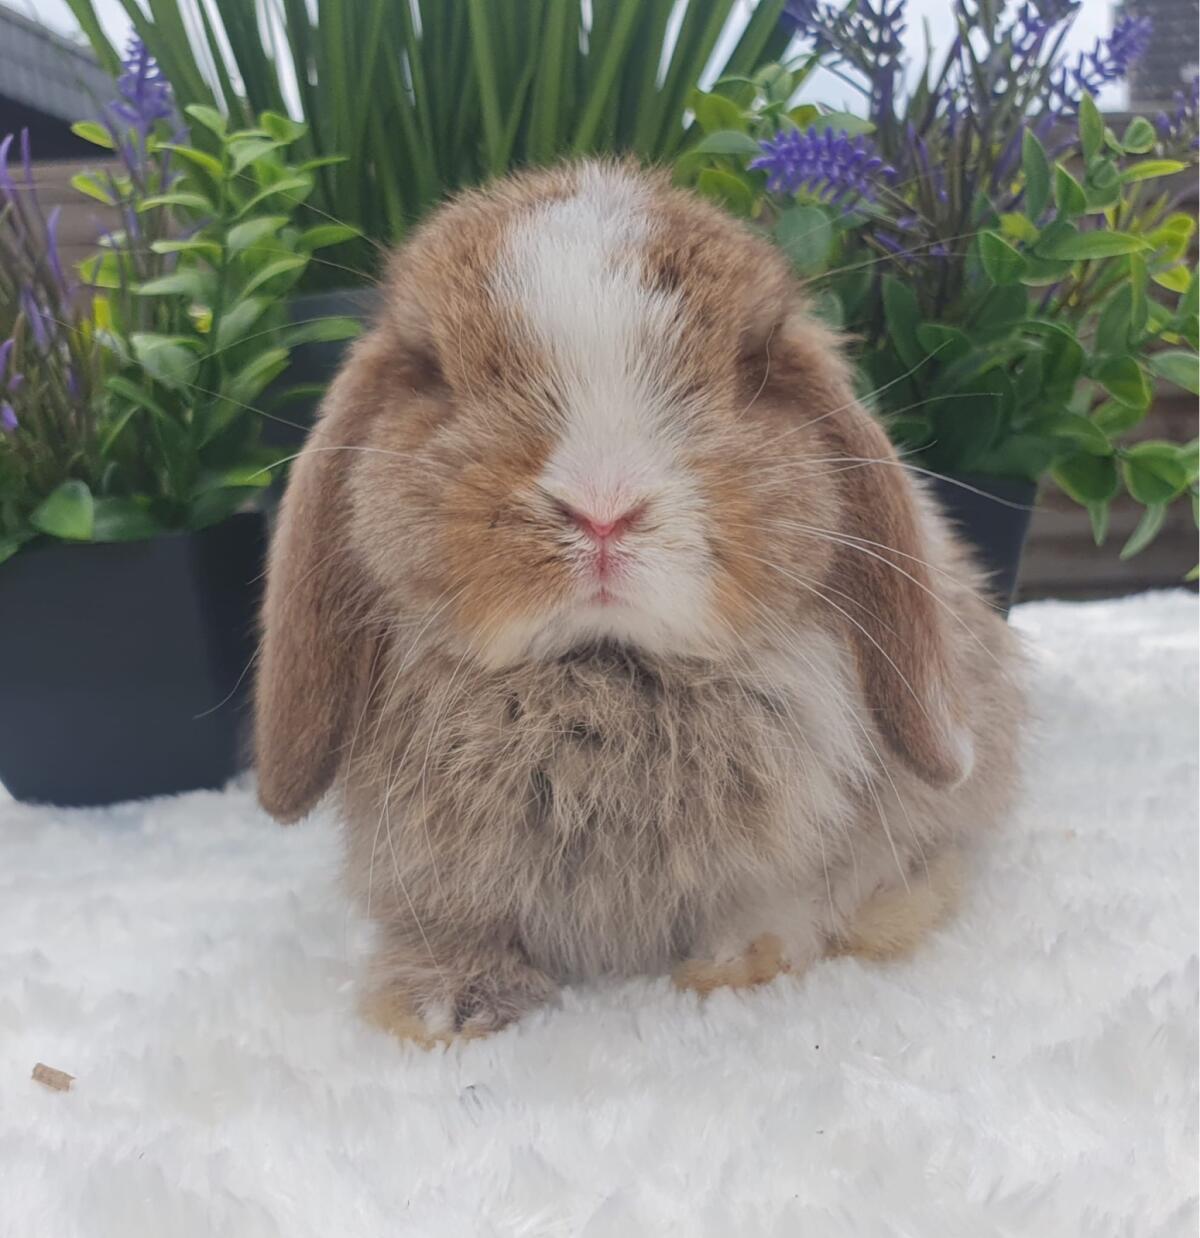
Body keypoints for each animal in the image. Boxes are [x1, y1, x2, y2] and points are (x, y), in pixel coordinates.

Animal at [255, 159, 1025, 1043]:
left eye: (750, 368)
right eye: (435, 373)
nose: (602, 507)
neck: (599, 668)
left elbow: (785, 902)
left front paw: (734, 971)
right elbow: (457, 926)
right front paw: (443, 1007)